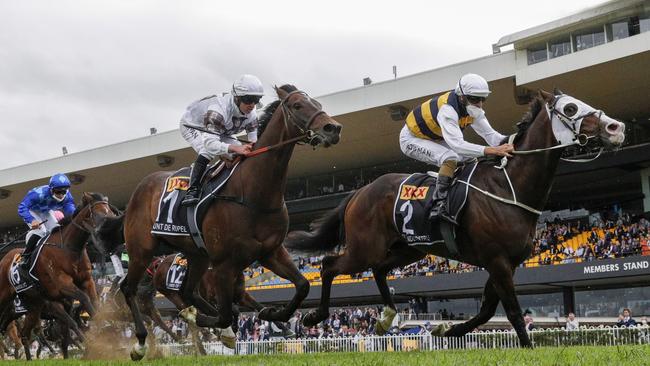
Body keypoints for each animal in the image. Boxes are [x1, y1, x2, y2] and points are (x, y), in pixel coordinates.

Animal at [0, 193, 115, 358]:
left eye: (110, 211)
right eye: (100, 214)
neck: (68, 249)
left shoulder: (86, 281)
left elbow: (92, 303)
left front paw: (106, 327)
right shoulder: (61, 289)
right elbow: (80, 307)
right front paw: (92, 342)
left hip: (33, 306)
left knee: (24, 334)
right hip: (6, 297)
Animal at [117, 83, 340, 360]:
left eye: (318, 104)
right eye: (298, 105)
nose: (332, 128)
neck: (253, 193)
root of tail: (139, 189)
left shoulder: (270, 252)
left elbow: (302, 286)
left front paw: (280, 315)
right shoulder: (224, 264)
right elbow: (224, 315)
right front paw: (215, 326)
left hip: (197, 256)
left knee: (188, 291)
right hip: (141, 250)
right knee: (130, 289)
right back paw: (141, 342)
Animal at [284, 90, 624, 348]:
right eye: (570, 108)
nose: (616, 127)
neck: (509, 186)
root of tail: (359, 192)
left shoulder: (505, 262)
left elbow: (487, 310)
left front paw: (446, 329)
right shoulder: (497, 260)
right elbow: (511, 310)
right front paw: (527, 347)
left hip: (410, 248)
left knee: (379, 269)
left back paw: (386, 317)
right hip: (364, 247)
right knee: (330, 265)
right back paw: (314, 315)